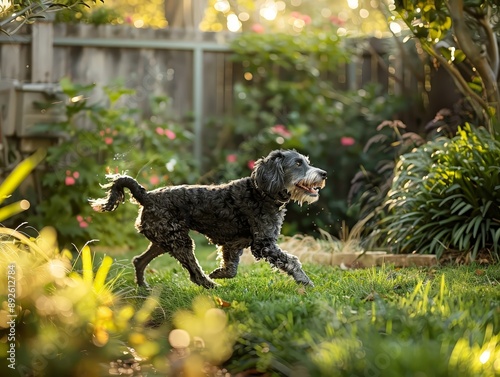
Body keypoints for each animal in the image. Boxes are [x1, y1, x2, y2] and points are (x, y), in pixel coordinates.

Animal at [89, 149, 326, 288]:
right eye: (297, 164)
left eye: (307, 162)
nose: (323, 173)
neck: (261, 192)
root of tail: (146, 196)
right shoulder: (263, 244)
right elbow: (292, 261)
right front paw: (305, 282)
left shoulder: (233, 244)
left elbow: (231, 268)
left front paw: (219, 272)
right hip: (179, 241)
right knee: (193, 272)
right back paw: (210, 286)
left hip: (163, 240)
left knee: (139, 260)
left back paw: (143, 288)